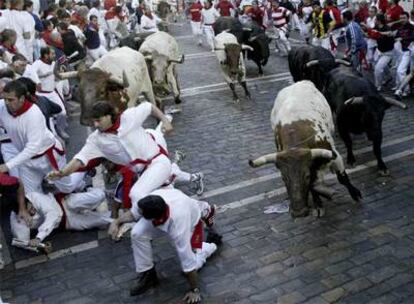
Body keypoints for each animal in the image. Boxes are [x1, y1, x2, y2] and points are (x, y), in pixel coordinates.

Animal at [247, 80, 360, 218]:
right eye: (283, 178)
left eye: (306, 176)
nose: (298, 212)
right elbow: (313, 186)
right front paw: (318, 204)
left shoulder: (335, 156)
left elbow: (342, 178)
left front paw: (355, 194)